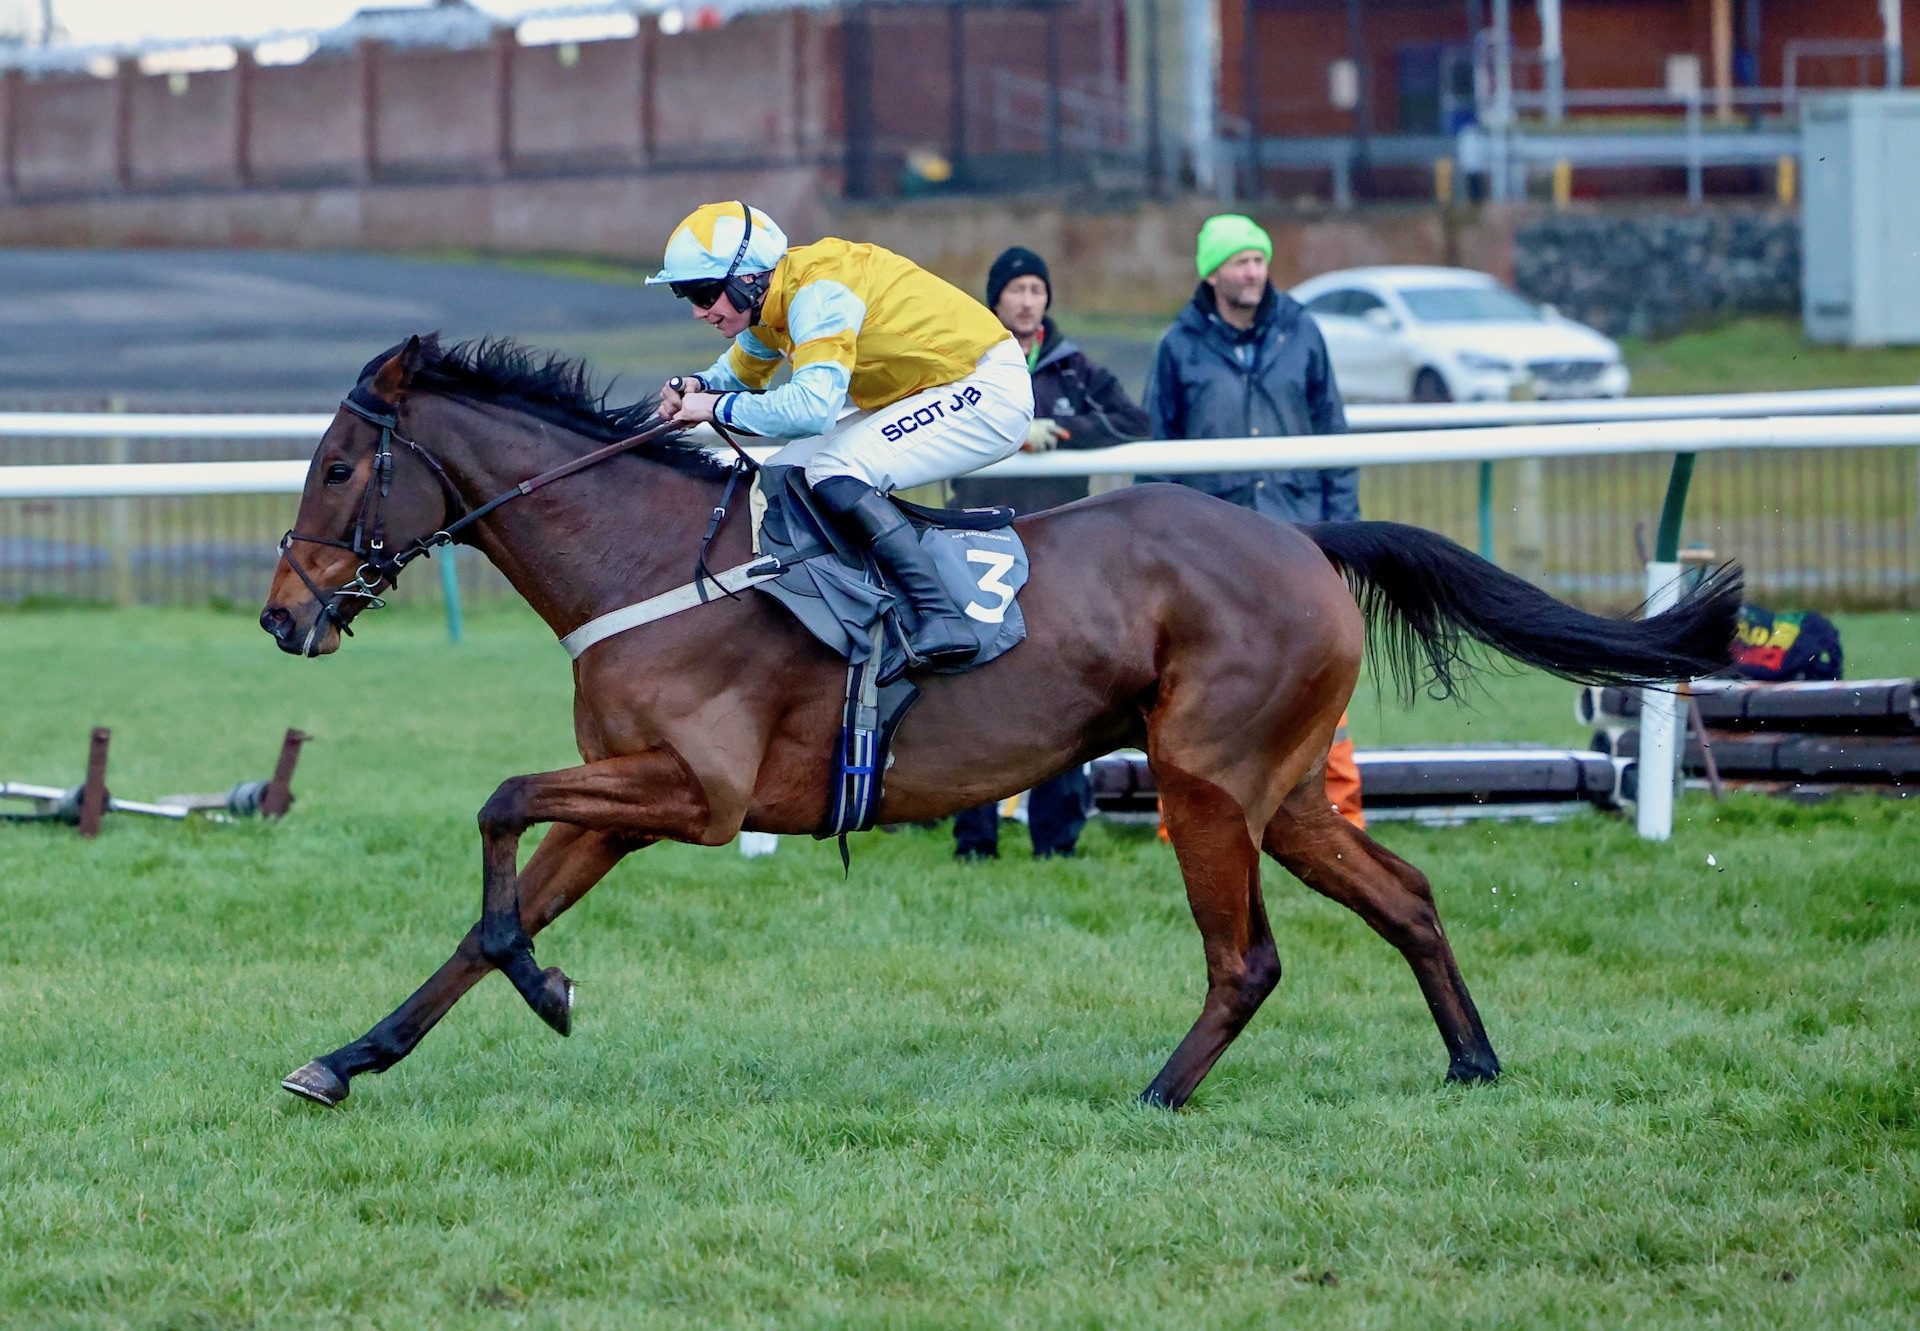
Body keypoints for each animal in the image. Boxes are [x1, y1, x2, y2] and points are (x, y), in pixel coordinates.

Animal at [259, 338, 1743, 1106]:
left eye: (334, 467)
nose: (283, 616)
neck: (653, 562)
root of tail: (1304, 540)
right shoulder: (632, 790)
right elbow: (487, 915)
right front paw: (354, 1053)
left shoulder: (698, 795)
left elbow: (499, 800)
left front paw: (547, 984)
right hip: (1282, 791)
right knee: (1408, 893)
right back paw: (1474, 1059)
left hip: (1209, 781)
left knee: (1248, 957)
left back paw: (1159, 1093)